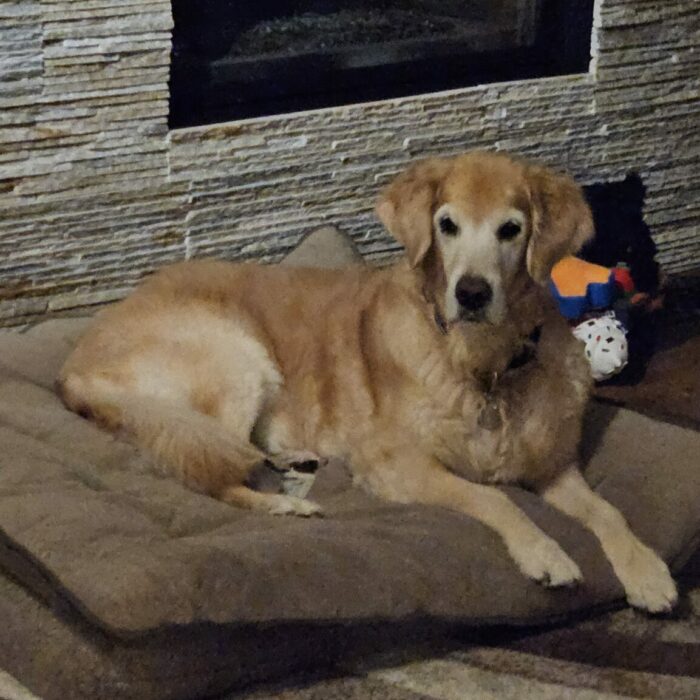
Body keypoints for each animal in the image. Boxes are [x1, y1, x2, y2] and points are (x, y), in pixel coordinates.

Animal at [57, 151, 677, 613]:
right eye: (446, 225)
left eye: (511, 230)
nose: (471, 293)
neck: (482, 365)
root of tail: (74, 364)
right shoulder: (395, 462)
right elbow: (492, 497)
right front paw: (544, 552)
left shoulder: (554, 468)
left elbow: (609, 512)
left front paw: (648, 572)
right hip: (235, 356)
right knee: (211, 473)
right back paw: (287, 505)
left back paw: (292, 462)